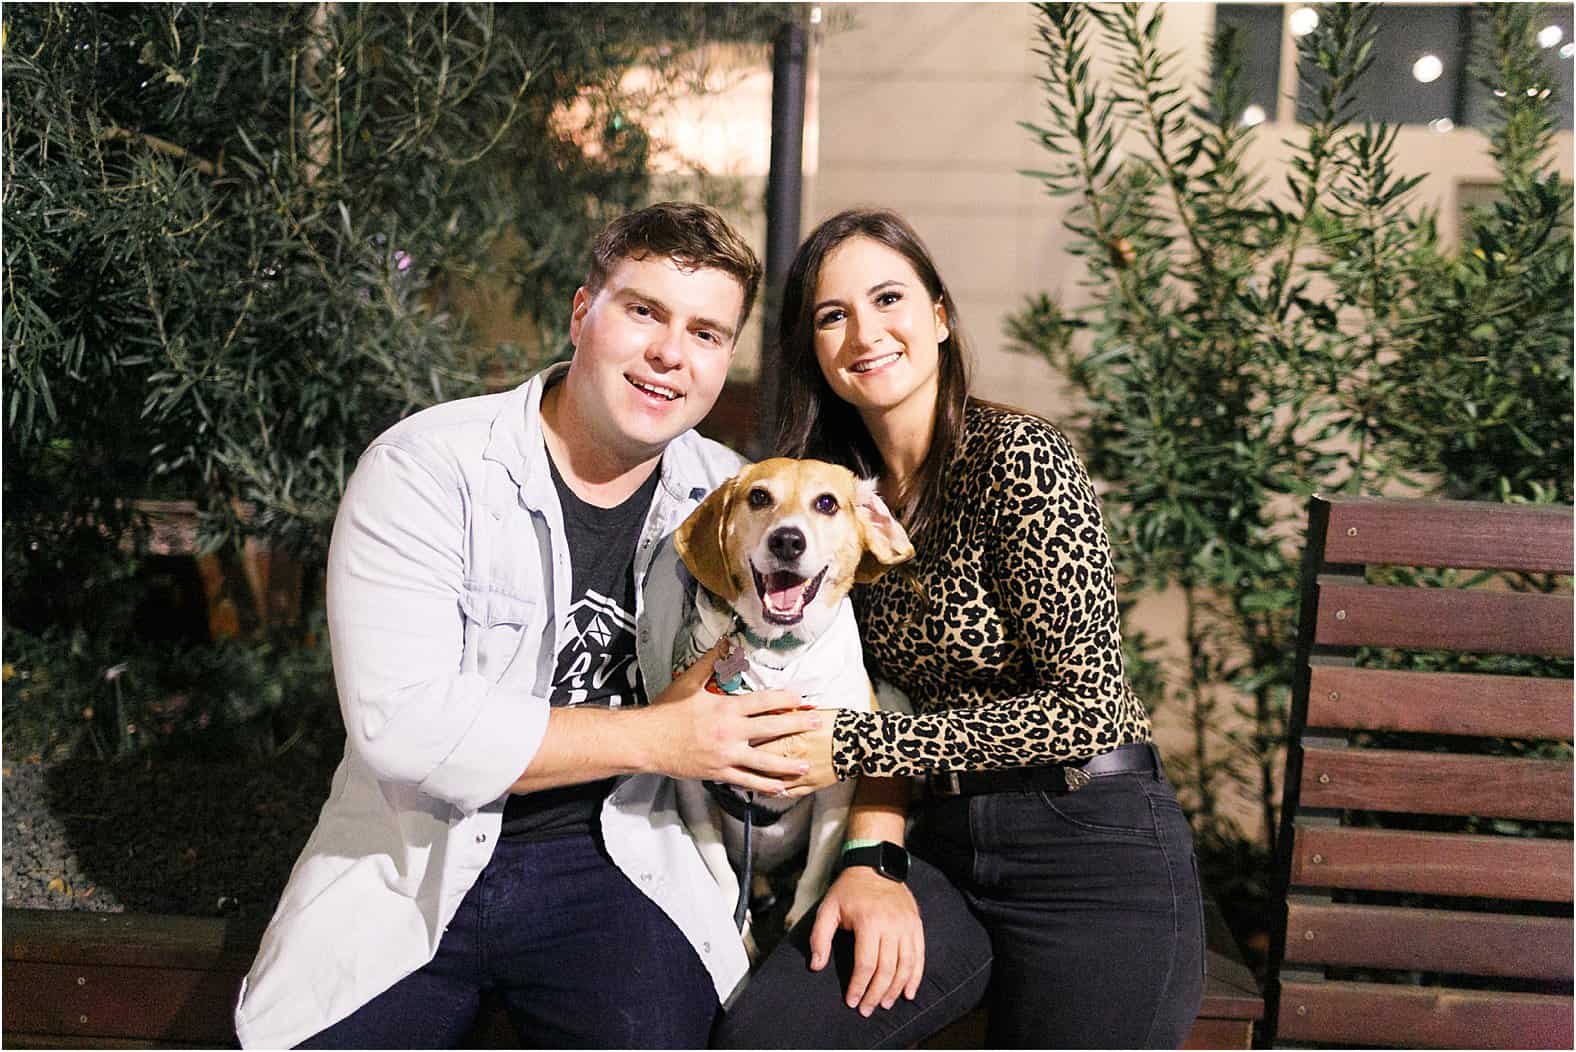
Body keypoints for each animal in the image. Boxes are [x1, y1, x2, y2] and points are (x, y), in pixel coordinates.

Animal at [668, 456, 914, 951]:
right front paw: (739, 932)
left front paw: (800, 915)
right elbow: (723, 874)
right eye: (759, 497)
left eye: (827, 503)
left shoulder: (835, 788)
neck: (778, 657)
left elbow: (818, 866)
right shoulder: (693, 791)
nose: (787, 539)